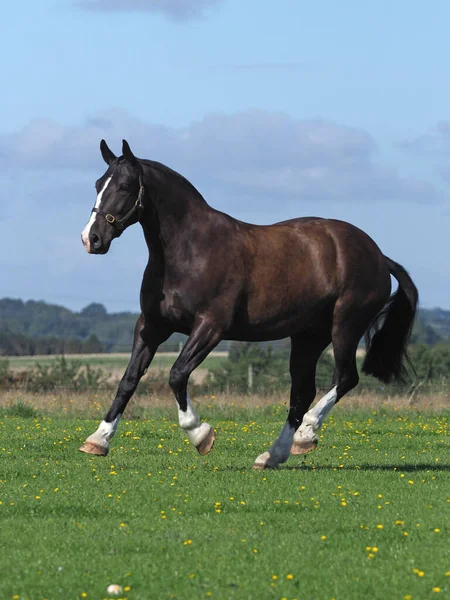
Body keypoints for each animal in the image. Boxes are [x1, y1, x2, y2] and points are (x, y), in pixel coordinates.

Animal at [80, 141, 418, 468]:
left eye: (124, 186)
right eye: (97, 184)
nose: (91, 238)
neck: (189, 250)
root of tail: (378, 255)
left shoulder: (210, 326)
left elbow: (177, 374)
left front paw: (201, 435)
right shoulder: (152, 325)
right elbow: (129, 380)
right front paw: (98, 439)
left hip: (344, 326)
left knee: (344, 378)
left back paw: (306, 433)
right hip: (308, 336)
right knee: (303, 391)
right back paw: (272, 455)